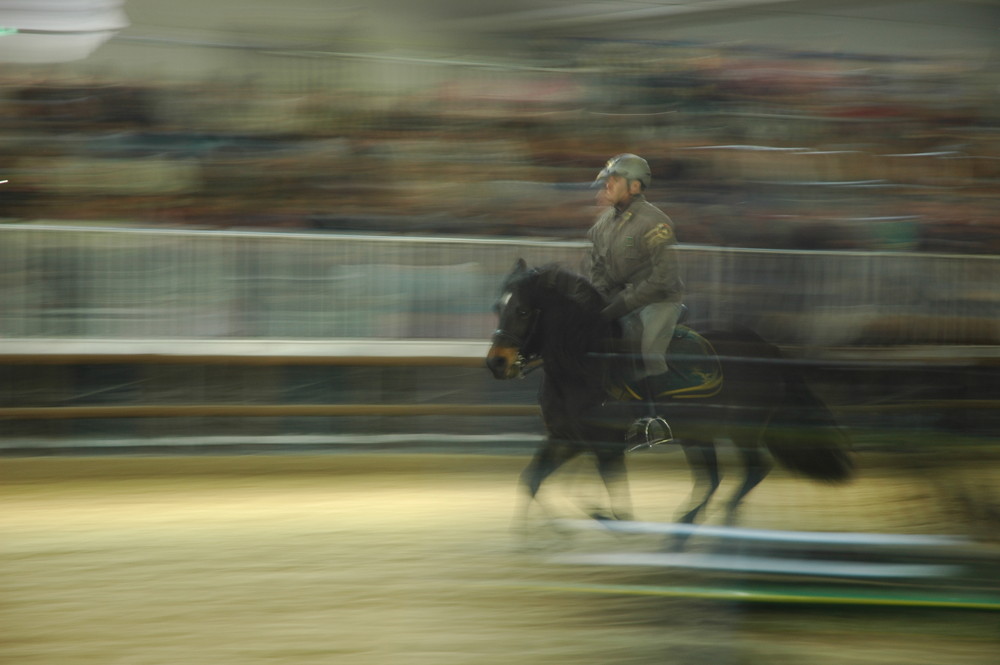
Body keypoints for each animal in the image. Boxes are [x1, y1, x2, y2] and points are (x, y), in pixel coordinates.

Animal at [484, 256, 852, 544]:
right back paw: (686, 528)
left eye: (522, 310)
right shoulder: (566, 438)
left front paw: (600, 520)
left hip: (743, 429)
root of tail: (767, 348)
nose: (496, 363)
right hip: (699, 435)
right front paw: (546, 534)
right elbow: (532, 480)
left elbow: (612, 505)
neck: (584, 363)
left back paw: (715, 526)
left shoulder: (606, 446)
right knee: (713, 478)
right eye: (498, 307)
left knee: (753, 469)